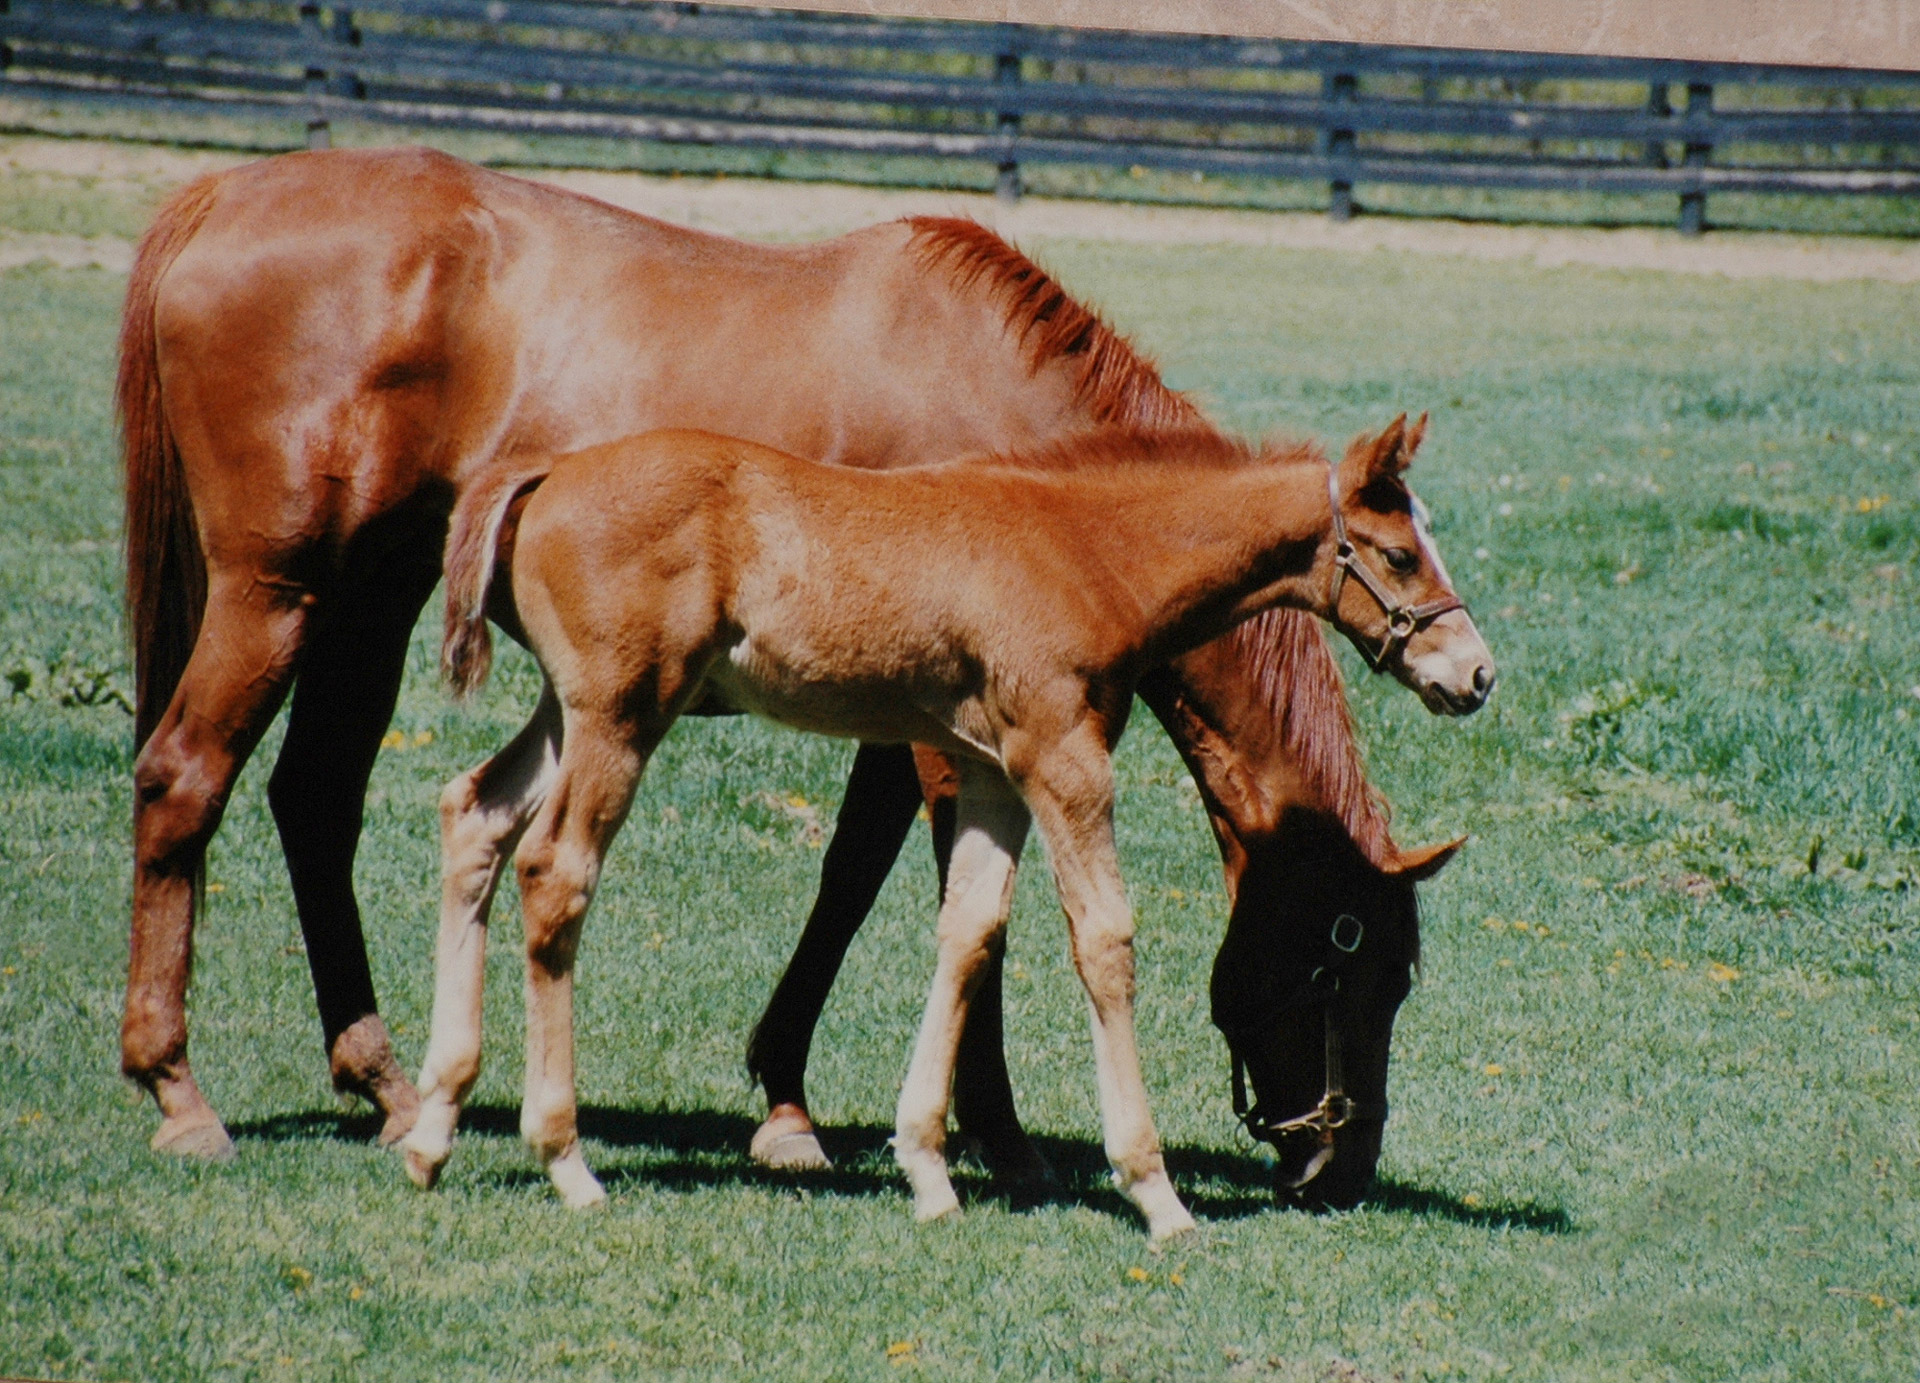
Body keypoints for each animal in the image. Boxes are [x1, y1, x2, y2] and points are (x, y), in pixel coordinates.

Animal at [401, 420, 1482, 1244]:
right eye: (1398, 553)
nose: (1475, 673)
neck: (1089, 550)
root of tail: (549, 470)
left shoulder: (991, 771)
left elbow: (970, 931)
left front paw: (926, 1169)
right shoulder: (1062, 759)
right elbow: (1105, 941)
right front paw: (1156, 1191)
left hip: (570, 711)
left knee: (474, 816)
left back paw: (431, 1127)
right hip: (623, 714)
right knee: (556, 871)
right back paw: (564, 1158)